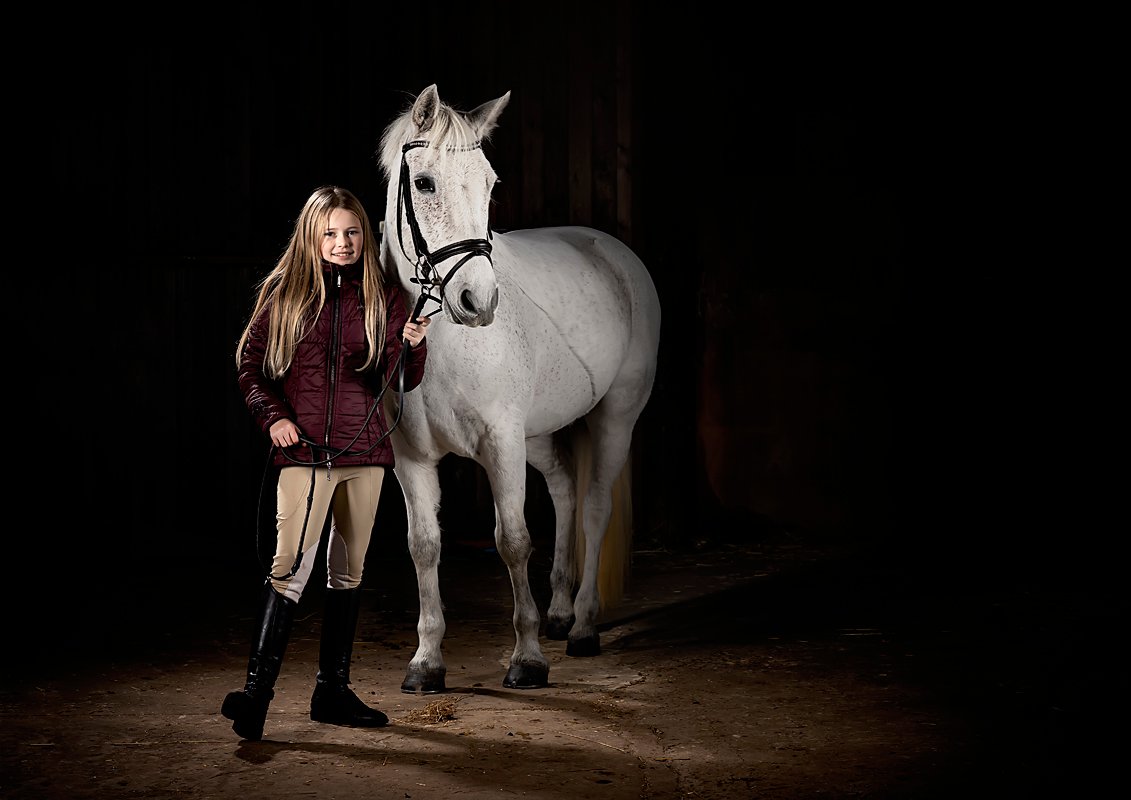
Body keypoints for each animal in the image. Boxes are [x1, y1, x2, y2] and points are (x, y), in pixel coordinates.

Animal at [377, 84, 661, 691]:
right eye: (424, 183)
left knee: (594, 505)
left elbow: (512, 540)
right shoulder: (411, 457)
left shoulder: (500, 443)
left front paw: (527, 659)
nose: (478, 302)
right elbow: (424, 546)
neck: (442, 343)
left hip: (614, 418)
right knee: (564, 488)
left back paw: (583, 625)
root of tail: (612, 250)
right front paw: (426, 662)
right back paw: (558, 611)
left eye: (490, 183)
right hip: (537, 435)